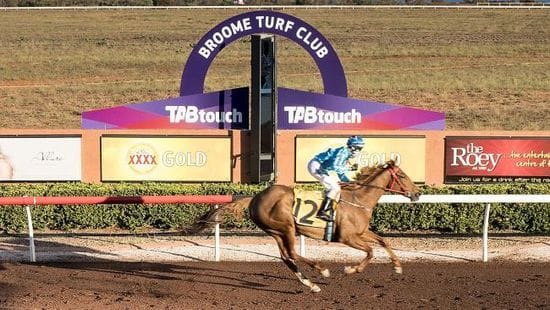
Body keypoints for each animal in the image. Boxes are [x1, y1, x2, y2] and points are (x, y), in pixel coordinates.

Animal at [190, 161, 422, 292]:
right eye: (402, 176)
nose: (417, 193)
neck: (359, 199)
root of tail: (255, 197)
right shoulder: (347, 237)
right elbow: (371, 252)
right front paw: (350, 269)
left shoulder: (362, 232)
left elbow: (383, 241)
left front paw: (397, 266)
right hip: (286, 227)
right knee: (292, 253)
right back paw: (322, 270)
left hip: (275, 231)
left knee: (287, 257)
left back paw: (310, 284)